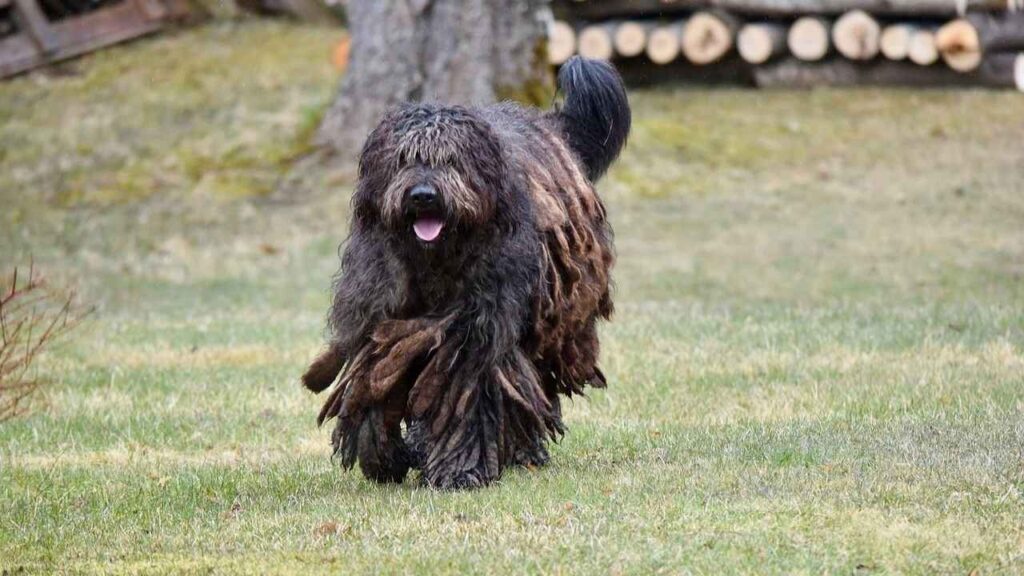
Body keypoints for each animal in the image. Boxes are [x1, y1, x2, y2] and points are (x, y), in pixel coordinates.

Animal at [299, 56, 626, 487]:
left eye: (451, 160)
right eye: (403, 160)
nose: (423, 196)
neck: (434, 260)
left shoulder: (474, 332)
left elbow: (469, 398)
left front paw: (459, 470)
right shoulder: (381, 317)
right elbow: (373, 381)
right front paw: (384, 457)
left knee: (530, 381)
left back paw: (522, 451)